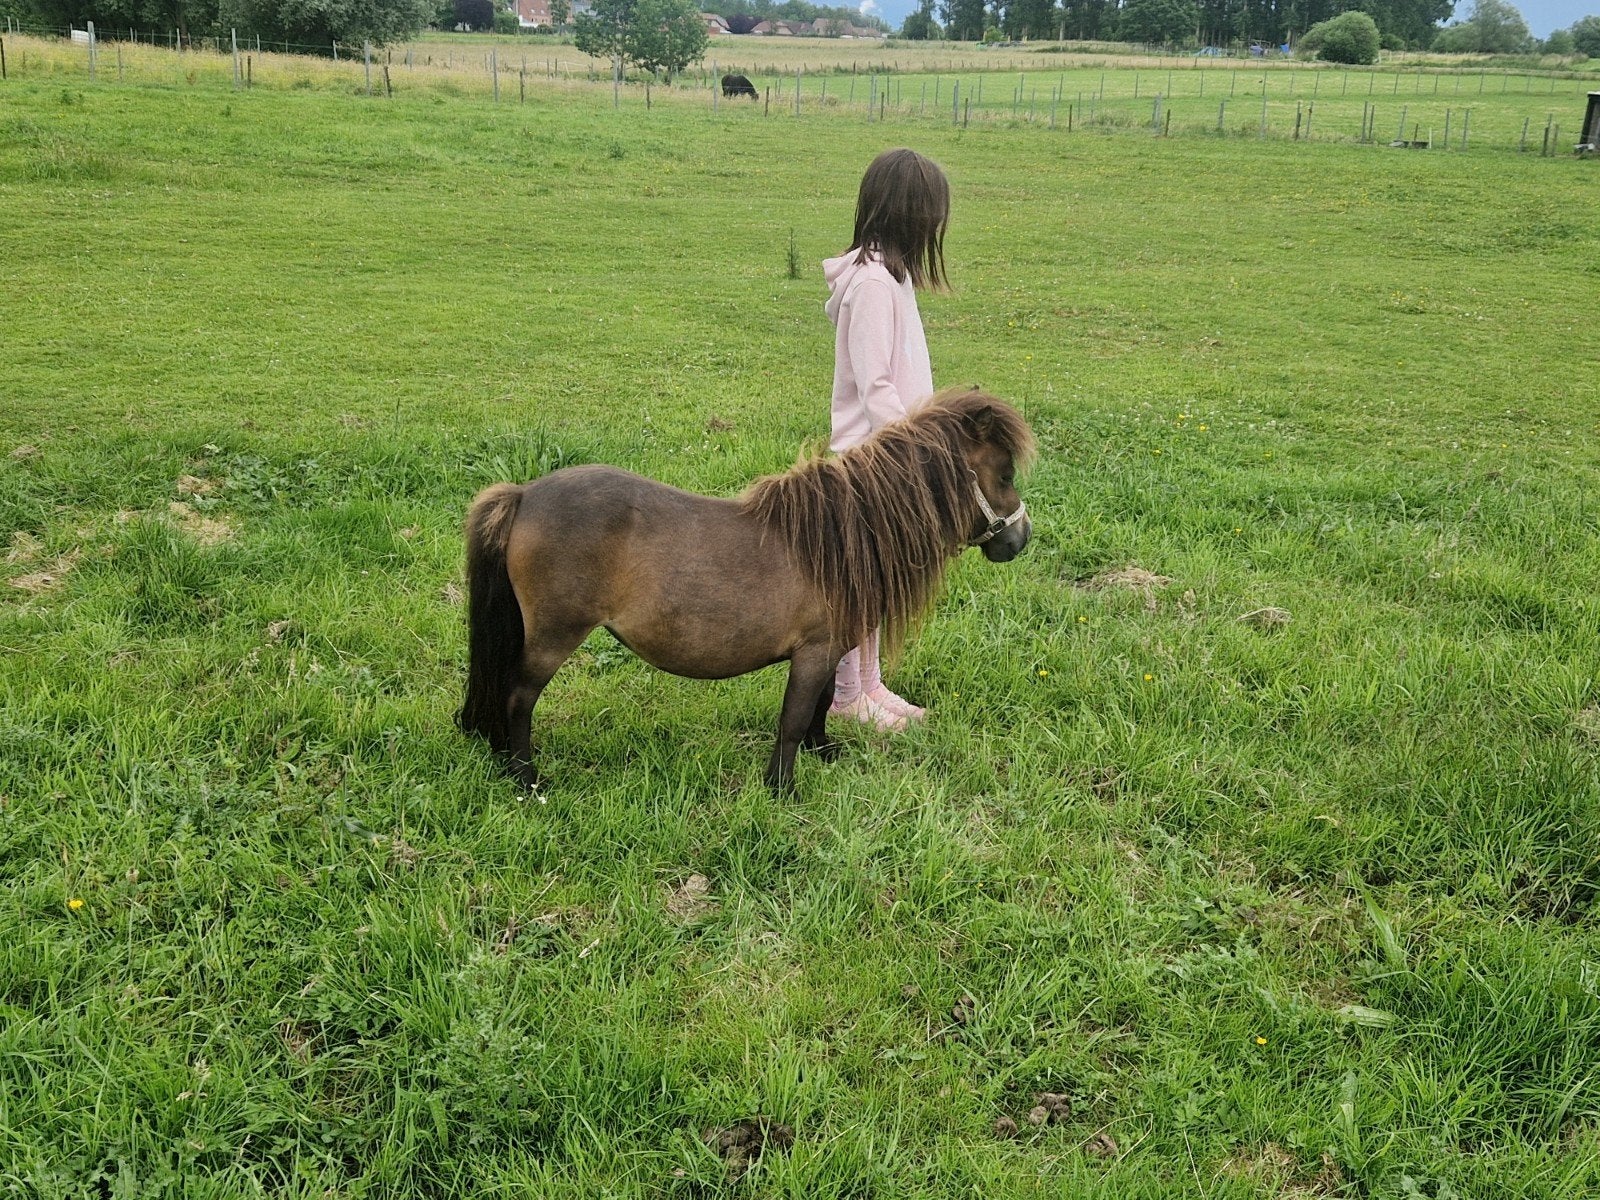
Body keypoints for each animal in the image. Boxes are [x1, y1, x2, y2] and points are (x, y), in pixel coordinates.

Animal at [457, 388, 1035, 793]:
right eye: (1005, 474)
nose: (1020, 540)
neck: (837, 537)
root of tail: (523, 495)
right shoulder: (813, 652)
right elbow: (793, 718)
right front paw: (782, 789)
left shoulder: (826, 651)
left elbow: (821, 706)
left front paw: (824, 754)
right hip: (554, 637)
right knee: (518, 696)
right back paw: (527, 778)